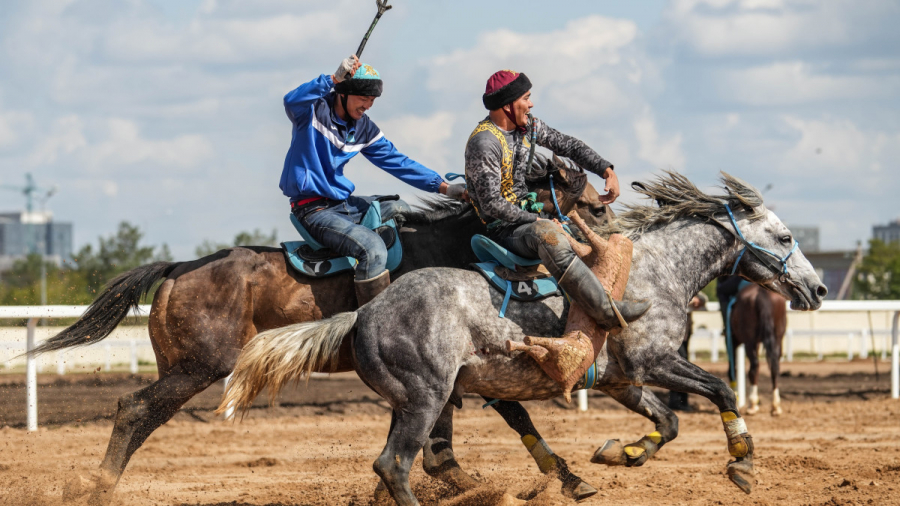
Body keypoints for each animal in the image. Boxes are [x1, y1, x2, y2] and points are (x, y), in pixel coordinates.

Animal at [35, 156, 612, 504]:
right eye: (584, 201)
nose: (601, 240)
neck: (443, 246)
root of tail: (179, 267)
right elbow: (490, 422)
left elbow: (480, 425)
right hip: (199, 367)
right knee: (134, 409)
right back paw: (99, 487)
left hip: (182, 367)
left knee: (140, 412)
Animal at [732, 282, 788, 418]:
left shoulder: (733, 340)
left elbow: (733, 367)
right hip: (778, 337)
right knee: (774, 367)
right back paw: (775, 406)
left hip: (750, 341)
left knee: (754, 367)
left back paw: (752, 405)